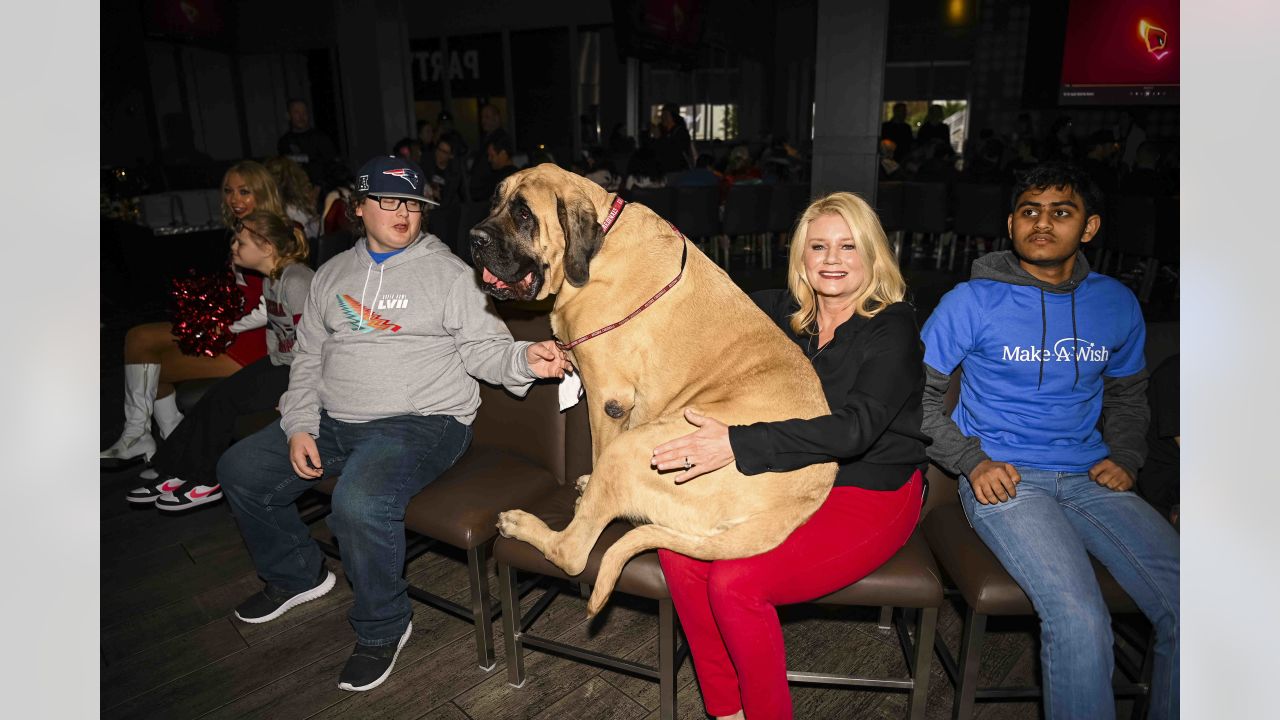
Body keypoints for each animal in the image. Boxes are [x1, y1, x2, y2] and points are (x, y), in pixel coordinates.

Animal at [465, 165, 834, 614]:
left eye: (523, 215)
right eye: (495, 201)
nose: (474, 238)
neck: (599, 248)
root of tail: (797, 507)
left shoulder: (608, 400)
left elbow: (597, 450)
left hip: (637, 449)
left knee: (573, 551)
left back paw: (522, 523)